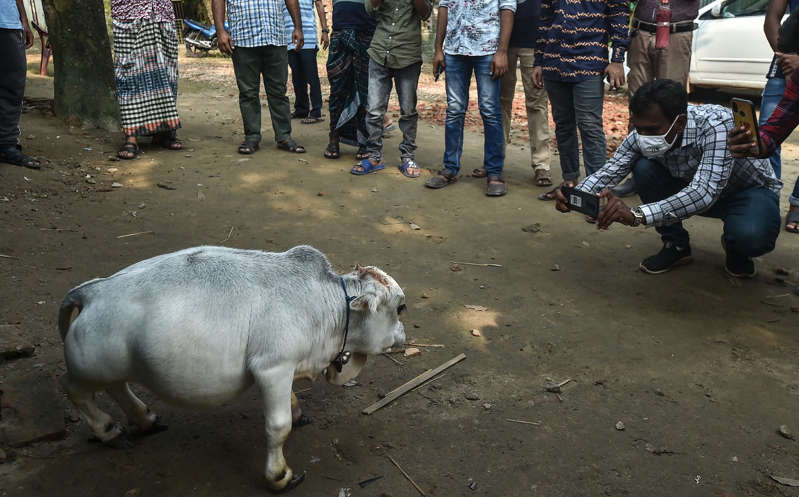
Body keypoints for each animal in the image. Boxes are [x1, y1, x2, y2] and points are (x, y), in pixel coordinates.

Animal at [57, 244, 406, 488]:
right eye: (401, 308)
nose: (403, 335)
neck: (327, 304)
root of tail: (91, 290)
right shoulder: (272, 367)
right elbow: (278, 427)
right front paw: (279, 475)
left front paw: (296, 409)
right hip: (90, 369)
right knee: (75, 390)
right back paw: (107, 429)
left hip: (115, 365)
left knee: (117, 387)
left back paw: (145, 419)